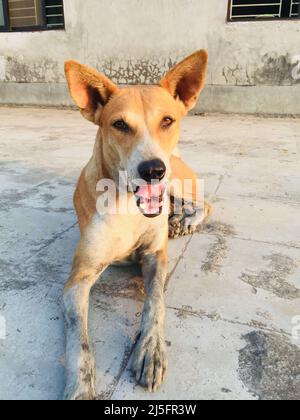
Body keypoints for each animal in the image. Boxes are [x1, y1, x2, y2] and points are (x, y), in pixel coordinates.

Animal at [63, 50, 211, 400]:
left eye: (167, 121)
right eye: (119, 124)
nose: (153, 170)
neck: (129, 206)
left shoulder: (155, 256)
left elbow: (155, 302)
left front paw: (151, 350)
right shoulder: (78, 278)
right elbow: (79, 340)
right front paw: (80, 387)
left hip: (177, 181)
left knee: (205, 203)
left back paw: (185, 220)